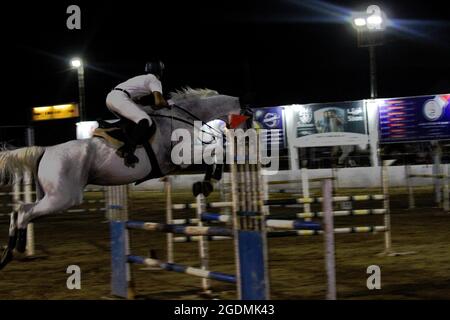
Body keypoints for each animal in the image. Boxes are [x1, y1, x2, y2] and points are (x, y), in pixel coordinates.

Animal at [0, 88, 246, 270]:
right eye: (248, 118)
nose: (244, 142)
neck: (181, 118)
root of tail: (45, 151)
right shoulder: (178, 159)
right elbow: (214, 155)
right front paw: (206, 183)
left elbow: (212, 155)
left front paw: (205, 183)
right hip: (62, 198)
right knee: (24, 213)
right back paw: (17, 249)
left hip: (51, 196)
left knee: (19, 211)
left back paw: (9, 254)